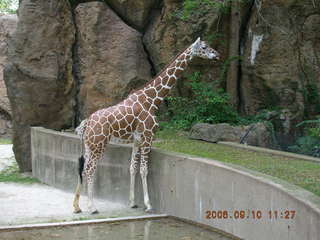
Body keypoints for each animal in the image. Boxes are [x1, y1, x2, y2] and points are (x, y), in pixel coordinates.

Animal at [72, 37, 219, 214]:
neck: (152, 99)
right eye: (204, 47)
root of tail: (86, 123)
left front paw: (133, 202)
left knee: (82, 168)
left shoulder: (137, 139)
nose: (217, 55)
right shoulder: (149, 135)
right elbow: (144, 169)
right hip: (98, 145)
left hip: (89, 146)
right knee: (89, 170)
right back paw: (92, 207)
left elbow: (132, 167)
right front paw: (148, 205)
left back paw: (77, 206)